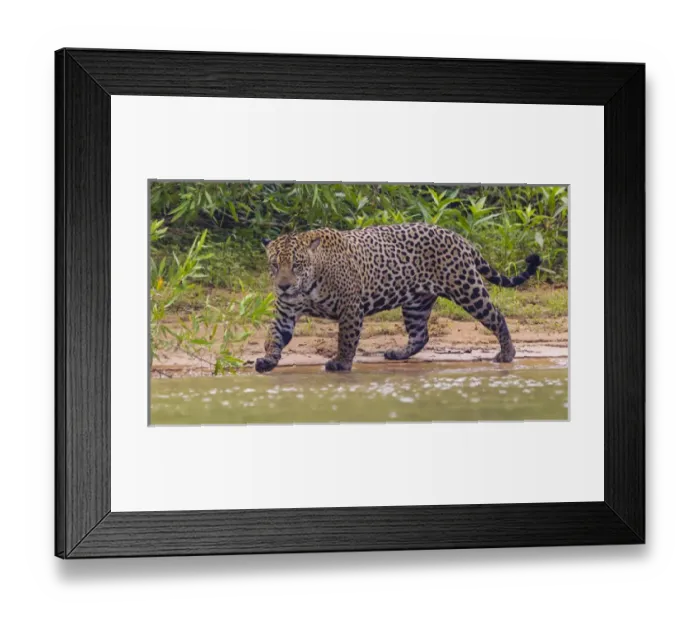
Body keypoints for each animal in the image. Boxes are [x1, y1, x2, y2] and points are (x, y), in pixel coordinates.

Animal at [255, 223, 541, 373]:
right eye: (274, 265)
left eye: (297, 265)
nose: (283, 286)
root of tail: (460, 238)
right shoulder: (286, 312)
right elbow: (273, 336)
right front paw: (267, 360)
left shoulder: (350, 307)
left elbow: (346, 338)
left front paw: (341, 363)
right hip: (416, 303)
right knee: (420, 334)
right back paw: (399, 353)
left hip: (467, 289)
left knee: (497, 315)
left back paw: (507, 353)